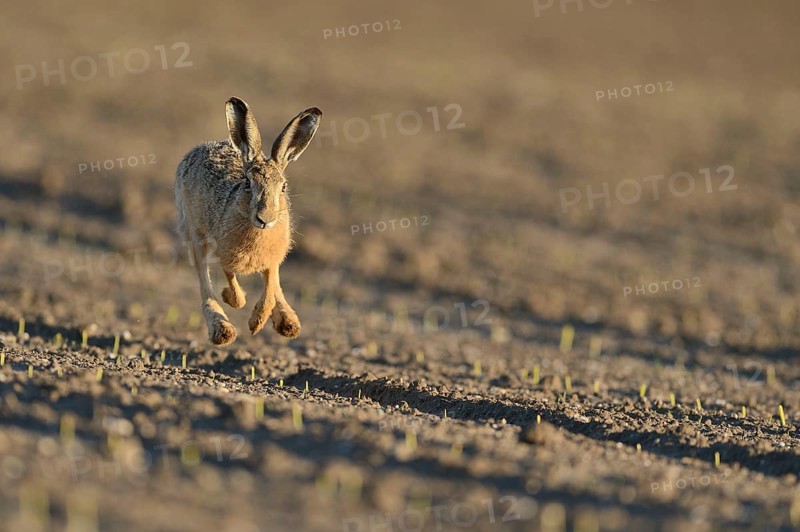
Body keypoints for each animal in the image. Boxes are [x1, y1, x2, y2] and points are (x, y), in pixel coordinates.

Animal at [175, 96, 322, 345]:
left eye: (283, 187)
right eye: (247, 183)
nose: (265, 219)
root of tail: (200, 148)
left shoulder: (272, 260)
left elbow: (270, 289)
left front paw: (257, 322)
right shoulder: (226, 256)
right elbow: (235, 292)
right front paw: (230, 297)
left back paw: (288, 323)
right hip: (194, 234)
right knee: (203, 277)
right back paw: (222, 329)